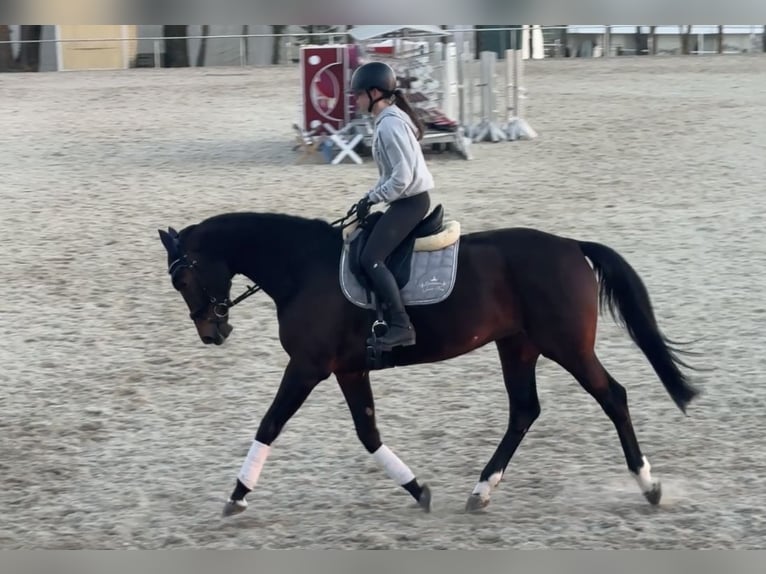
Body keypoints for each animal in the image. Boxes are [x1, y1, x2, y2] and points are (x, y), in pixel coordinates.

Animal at [157, 203, 701, 518]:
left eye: (181, 278)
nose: (212, 332)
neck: (302, 269)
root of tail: (571, 246)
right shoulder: (348, 368)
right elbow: (368, 433)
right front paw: (418, 490)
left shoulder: (308, 367)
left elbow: (270, 424)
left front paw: (236, 495)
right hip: (518, 346)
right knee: (524, 411)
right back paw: (482, 490)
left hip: (566, 345)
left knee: (613, 397)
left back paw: (648, 485)